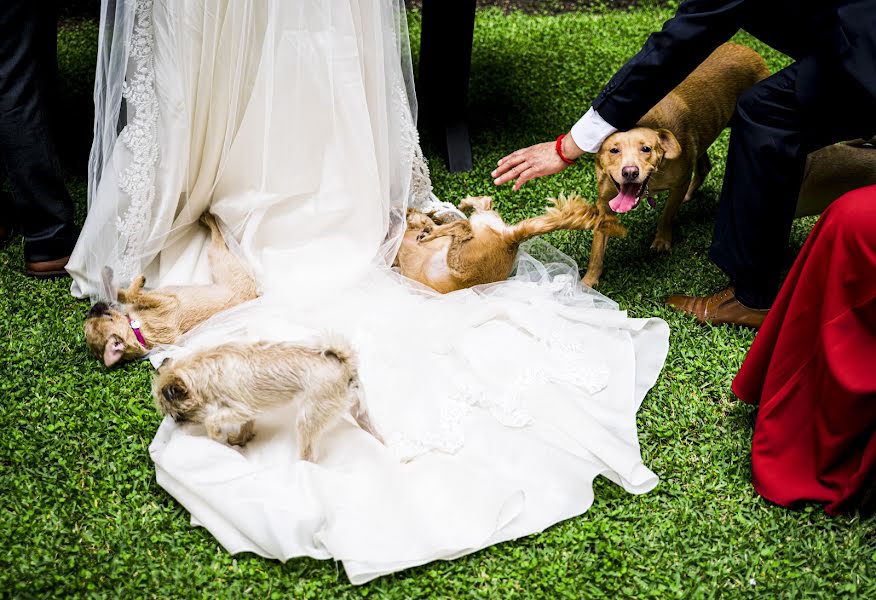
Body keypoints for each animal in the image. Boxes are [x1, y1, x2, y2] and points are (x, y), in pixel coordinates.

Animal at [82, 213, 258, 368]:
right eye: (107, 316)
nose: (94, 306)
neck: (138, 332)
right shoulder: (167, 302)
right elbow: (132, 295)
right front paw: (135, 282)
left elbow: (122, 293)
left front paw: (107, 278)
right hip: (219, 260)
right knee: (218, 239)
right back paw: (209, 218)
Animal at [151, 336, 384, 462]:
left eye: (178, 415)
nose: (176, 423)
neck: (205, 368)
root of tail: (345, 364)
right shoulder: (246, 413)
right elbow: (246, 426)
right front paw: (240, 439)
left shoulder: (240, 408)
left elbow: (212, 419)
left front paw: (217, 436)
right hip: (361, 412)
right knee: (376, 434)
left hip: (309, 418)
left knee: (309, 455)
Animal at [396, 193, 624, 294]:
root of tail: (509, 239)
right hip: (484, 219)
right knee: (484, 202)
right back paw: (464, 203)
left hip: (459, 261)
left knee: (463, 226)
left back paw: (432, 232)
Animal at [584, 41, 768, 286]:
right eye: (614, 150)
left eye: (646, 149)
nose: (630, 172)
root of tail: (746, 47)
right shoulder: (604, 205)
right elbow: (597, 250)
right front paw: (587, 281)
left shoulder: (679, 183)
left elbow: (666, 215)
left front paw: (662, 241)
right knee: (704, 165)